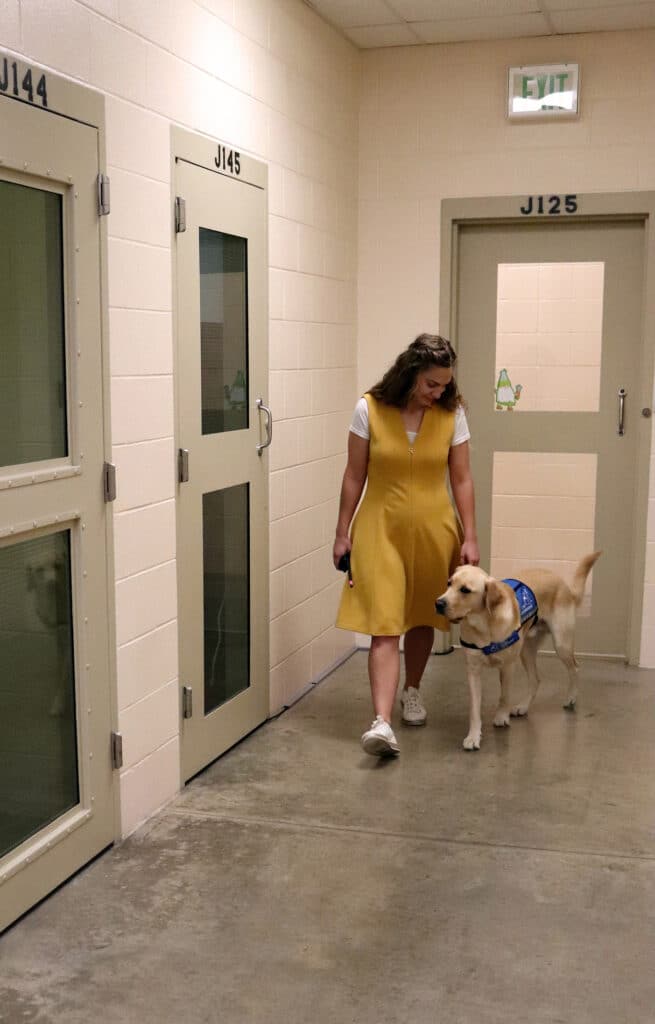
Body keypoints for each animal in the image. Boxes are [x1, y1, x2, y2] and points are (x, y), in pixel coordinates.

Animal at [438, 552, 601, 753]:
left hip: (561, 643)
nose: (438, 603)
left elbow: (504, 695)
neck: (484, 624)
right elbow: (474, 709)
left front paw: (501, 717)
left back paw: (571, 698)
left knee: (575, 668)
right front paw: (473, 736)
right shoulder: (473, 671)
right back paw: (523, 706)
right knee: (536, 680)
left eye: (465, 590)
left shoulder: (507, 666)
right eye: (449, 583)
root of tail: (564, 584)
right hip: (526, 651)